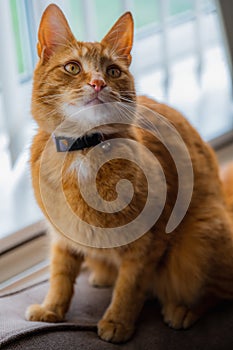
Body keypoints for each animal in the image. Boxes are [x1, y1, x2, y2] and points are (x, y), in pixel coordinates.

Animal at [26, 4, 233, 344]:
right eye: (72, 67)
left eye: (113, 71)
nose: (98, 83)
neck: (84, 149)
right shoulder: (61, 236)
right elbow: (60, 274)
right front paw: (51, 309)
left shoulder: (148, 242)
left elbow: (130, 285)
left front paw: (118, 321)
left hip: (198, 242)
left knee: (218, 290)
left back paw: (182, 309)